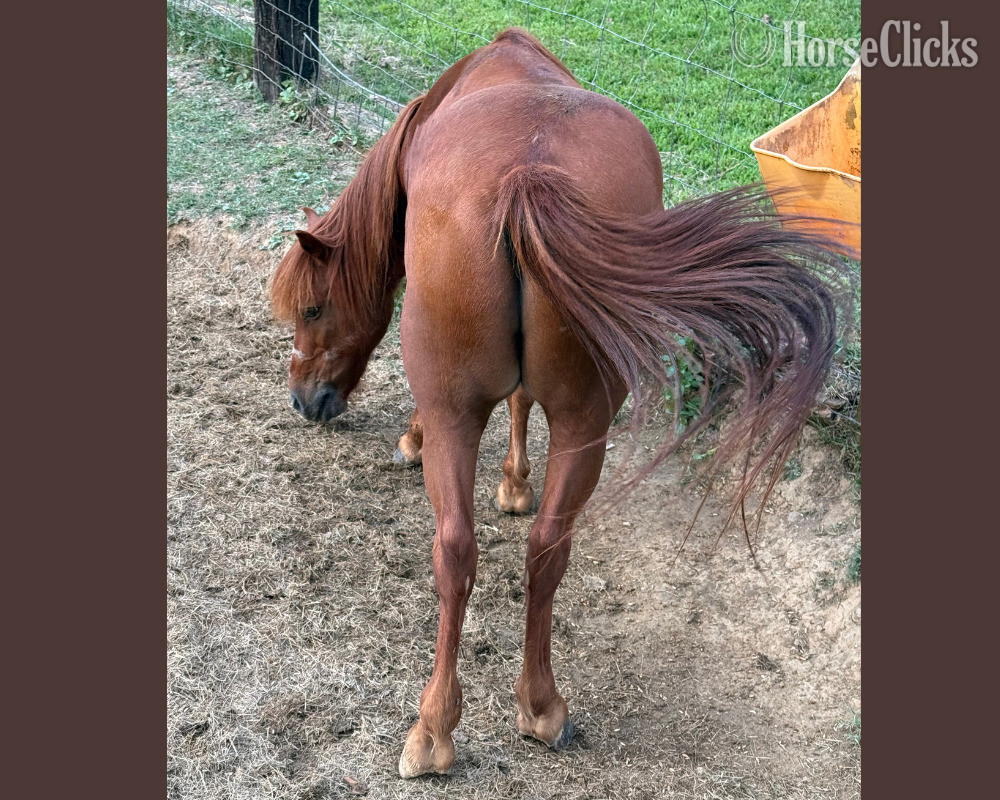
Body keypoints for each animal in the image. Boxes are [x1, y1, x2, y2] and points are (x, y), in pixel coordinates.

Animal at [269, 27, 846, 778]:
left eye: (313, 308)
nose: (304, 401)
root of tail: (526, 179)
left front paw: (435, 450)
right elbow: (521, 410)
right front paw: (517, 486)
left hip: (471, 412)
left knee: (457, 547)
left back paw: (436, 730)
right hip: (584, 423)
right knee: (534, 550)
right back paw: (532, 710)